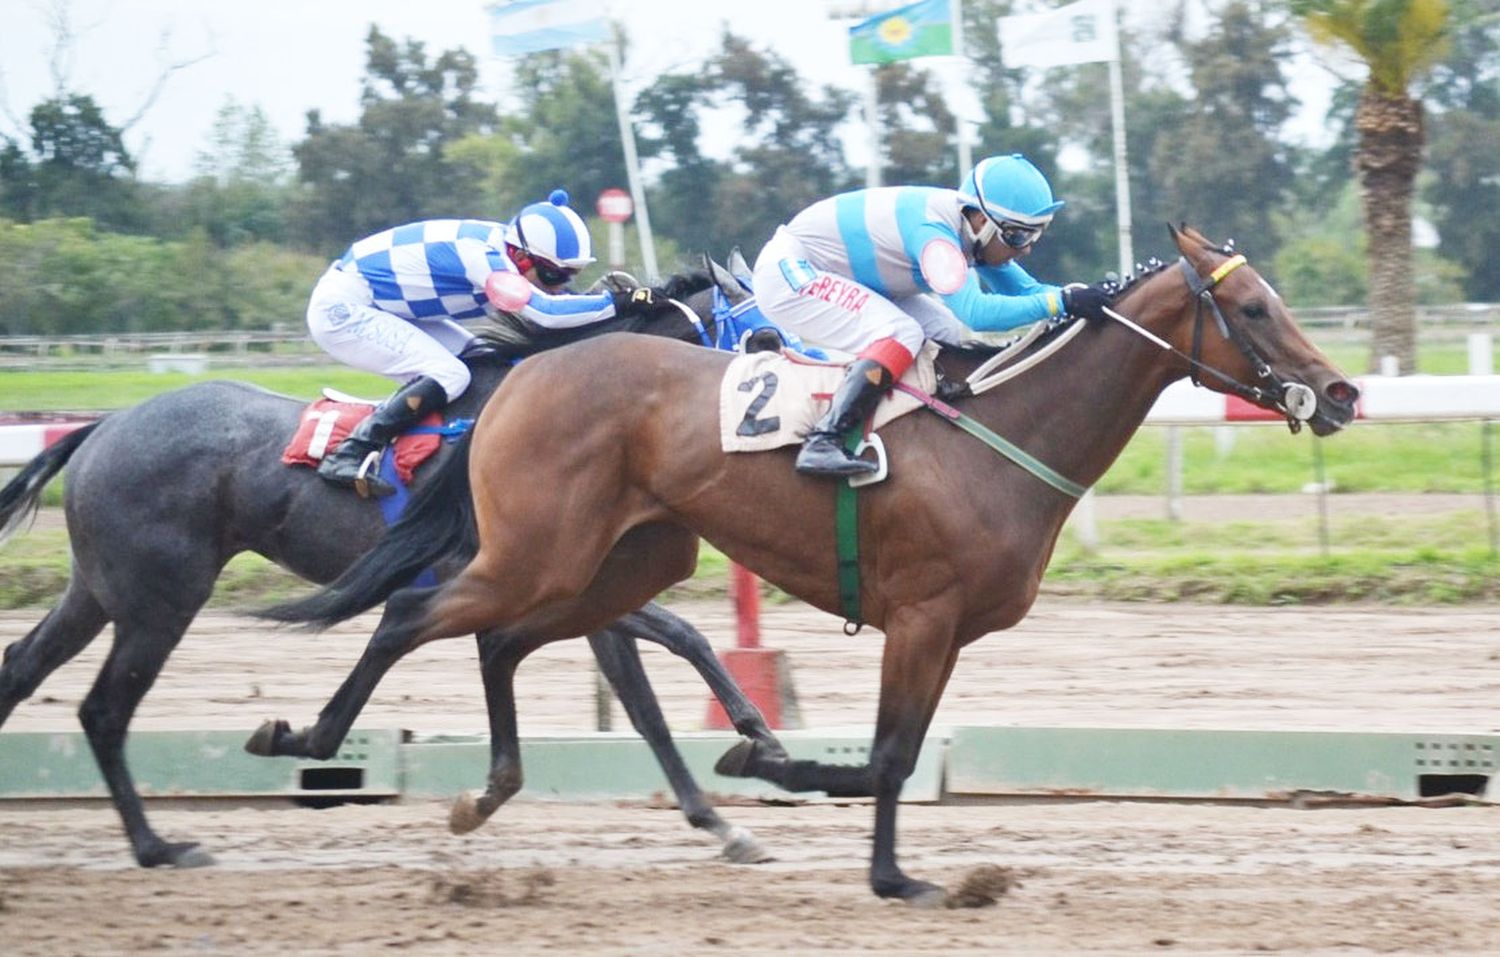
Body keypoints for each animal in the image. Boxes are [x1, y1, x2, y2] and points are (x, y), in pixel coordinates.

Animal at [2, 268, 786, 870]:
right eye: (763, 337)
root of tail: (104, 425)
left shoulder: (578, 586)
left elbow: (657, 679)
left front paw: (737, 788)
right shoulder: (526, 576)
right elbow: (659, 662)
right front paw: (747, 761)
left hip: (99, 590)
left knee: (26, 669)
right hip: (160, 599)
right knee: (104, 709)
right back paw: (160, 845)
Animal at [258, 226, 1362, 906]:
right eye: (1253, 309)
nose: (1344, 393)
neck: (1003, 433)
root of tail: (521, 375)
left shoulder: (945, 630)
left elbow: (893, 753)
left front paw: (831, 821)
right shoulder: (921, 616)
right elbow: (885, 756)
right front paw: (806, 797)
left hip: (620, 563)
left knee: (501, 641)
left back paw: (484, 789)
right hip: (541, 551)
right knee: (413, 617)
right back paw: (303, 736)